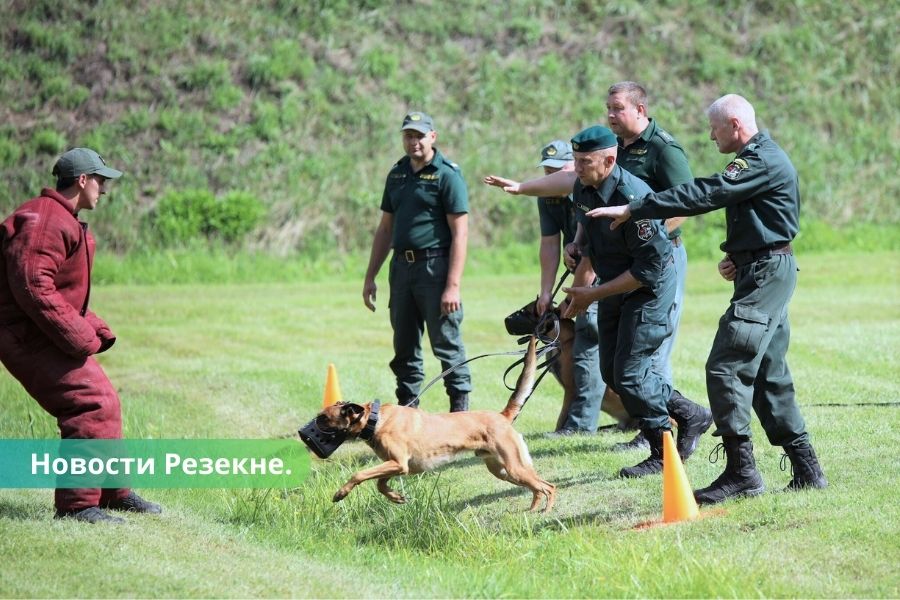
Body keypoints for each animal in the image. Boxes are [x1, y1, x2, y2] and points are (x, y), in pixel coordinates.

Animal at [314, 336, 556, 512]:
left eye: (323, 417)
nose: (306, 434)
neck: (376, 420)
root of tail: (501, 416)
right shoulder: (397, 465)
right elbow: (380, 484)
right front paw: (396, 497)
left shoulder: (398, 463)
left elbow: (360, 475)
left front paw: (341, 493)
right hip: (503, 470)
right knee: (538, 487)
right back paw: (532, 510)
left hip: (513, 467)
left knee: (549, 487)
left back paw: (544, 512)